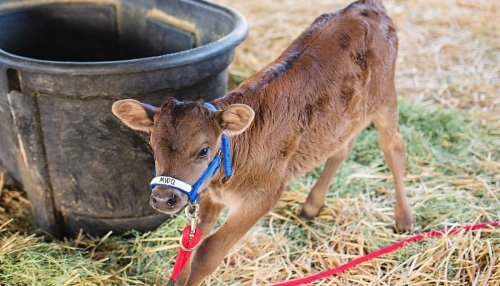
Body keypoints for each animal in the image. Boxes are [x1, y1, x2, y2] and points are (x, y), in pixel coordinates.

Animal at [112, 1, 414, 284]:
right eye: (153, 146)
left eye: (203, 151)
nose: (164, 199)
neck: (230, 164)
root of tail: (364, 5)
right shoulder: (212, 194)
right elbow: (191, 242)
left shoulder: (263, 196)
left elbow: (208, 251)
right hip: (344, 116)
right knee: (341, 148)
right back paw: (312, 205)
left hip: (385, 97)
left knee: (394, 147)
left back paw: (404, 219)